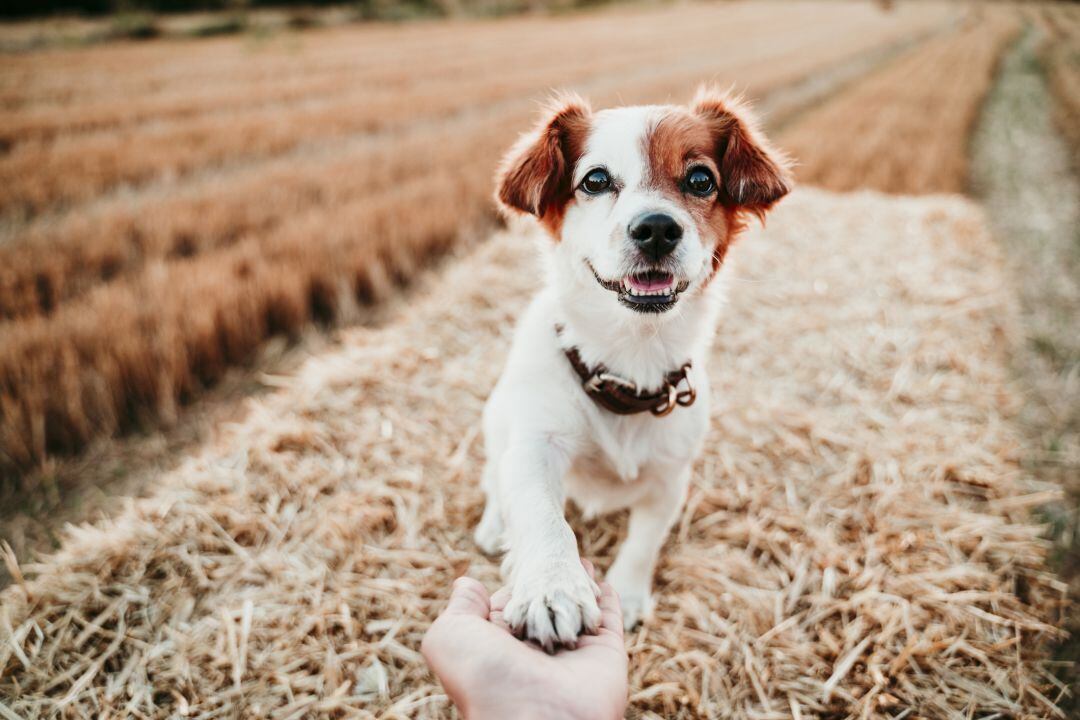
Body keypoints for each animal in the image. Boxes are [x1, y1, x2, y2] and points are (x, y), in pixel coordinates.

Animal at [477, 87, 790, 651]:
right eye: (595, 180)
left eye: (700, 180)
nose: (657, 229)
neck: (630, 362)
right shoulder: (537, 445)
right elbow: (539, 513)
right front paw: (552, 586)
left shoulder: (670, 475)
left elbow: (645, 540)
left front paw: (627, 592)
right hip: (497, 419)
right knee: (495, 477)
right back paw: (493, 526)